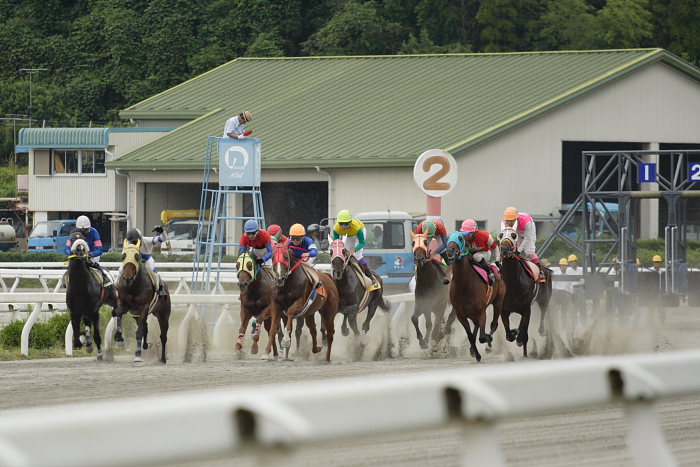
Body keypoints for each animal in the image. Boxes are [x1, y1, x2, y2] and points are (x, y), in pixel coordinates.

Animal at [65, 232, 116, 360]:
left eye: (83, 238)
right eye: (71, 239)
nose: (80, 248)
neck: (80, 289)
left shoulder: (94, 312)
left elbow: (97, 336)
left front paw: (100, 353)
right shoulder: (74, 313)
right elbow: (77, 337)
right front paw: (85, 342)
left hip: (113, 299)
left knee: (118, 313)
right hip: (85, 313)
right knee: (87, 324)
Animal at [442, 232, 504, 364]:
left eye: (460, 238)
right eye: (448, 238)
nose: (449, 251)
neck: (465, 284)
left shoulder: (481, 311)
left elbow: (482, 337)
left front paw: (487, 339)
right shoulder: (461, 314)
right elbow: (470, 336)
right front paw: (477, 354)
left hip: (498, 302)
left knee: (494, 324)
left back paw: (489, 345)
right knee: (476, 326)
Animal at [498, 228, 552, 358]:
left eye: (513, 235)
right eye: (501, 235)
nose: (504, 249)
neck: (512, 283)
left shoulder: (526, 309)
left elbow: (524, 333)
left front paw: (522, 345)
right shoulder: (504, 310)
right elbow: (509, 335)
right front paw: (514, 333)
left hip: (544, 298)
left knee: (543, 310)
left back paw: (541, 330)